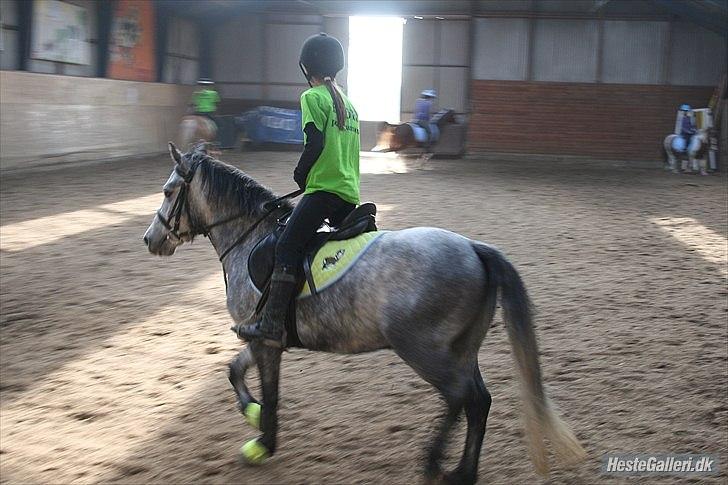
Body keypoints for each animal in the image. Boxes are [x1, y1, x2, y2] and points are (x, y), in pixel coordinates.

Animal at [143, 143, 585, 484]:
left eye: (168, 191)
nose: (150, 239)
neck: (249, 237)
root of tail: (475, 249)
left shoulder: (267, 340)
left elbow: (269, 391)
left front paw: (262, 443)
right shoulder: (263, 337)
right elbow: (234, 370)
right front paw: (252, 416)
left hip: (423, 349)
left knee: (461, 397)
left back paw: (433, 461)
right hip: (462, 349)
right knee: (479, 401)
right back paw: (463, 472)